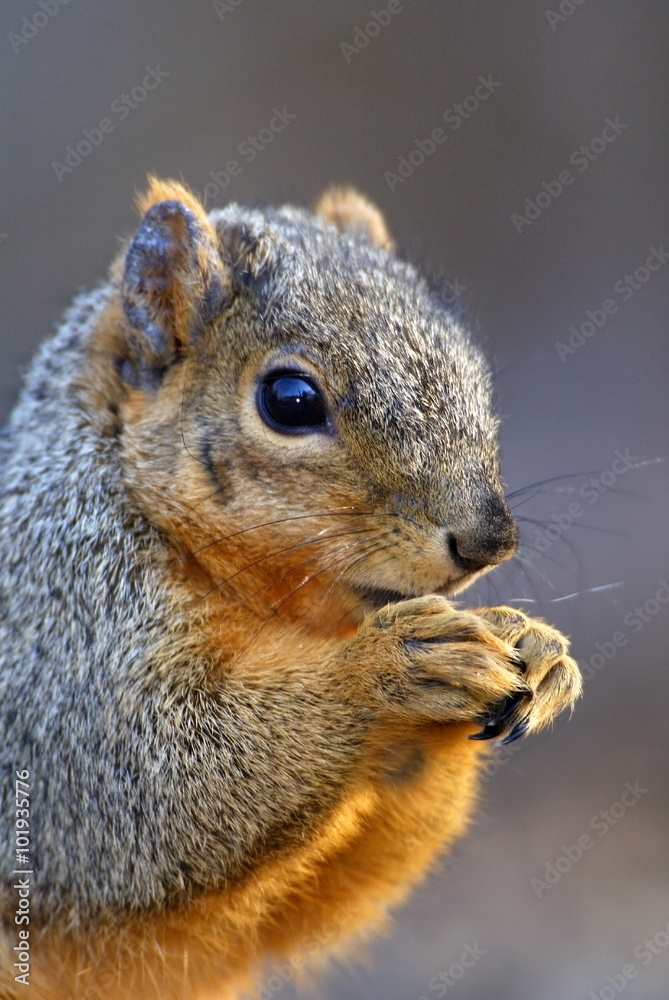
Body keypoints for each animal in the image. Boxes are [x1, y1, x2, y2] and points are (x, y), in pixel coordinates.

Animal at [0, 178, 581, 1000]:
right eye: (291, 400)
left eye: (470, 365)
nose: (488, 540)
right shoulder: (56, 639)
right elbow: (144, 789)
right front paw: (389, 668)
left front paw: (535, 647)